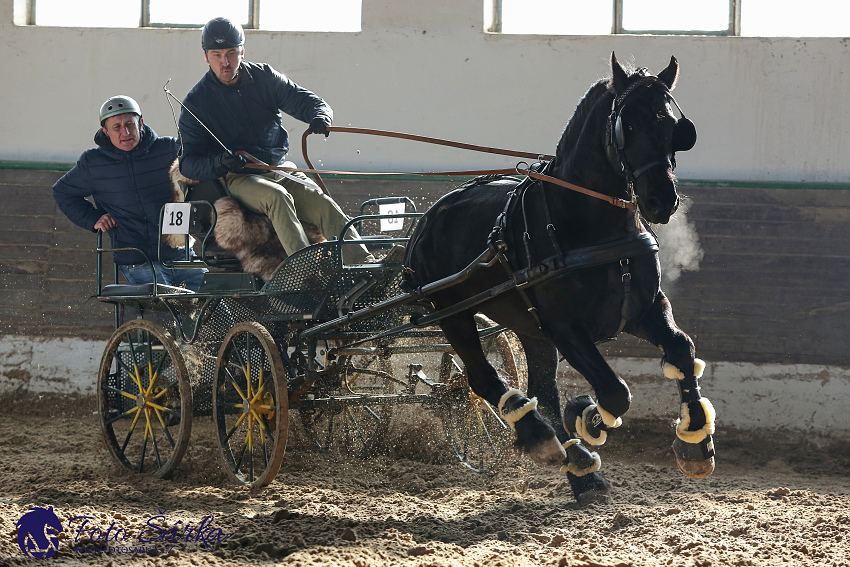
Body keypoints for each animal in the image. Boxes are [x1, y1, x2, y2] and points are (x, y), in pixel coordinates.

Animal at [400, 55, 712, 504]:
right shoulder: (565, 327)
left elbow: (682, 351)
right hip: (453, 314)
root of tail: (428, 217)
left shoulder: (645, 309)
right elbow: (615, 393)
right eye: (629, 125)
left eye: (674, 127)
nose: (660, 200)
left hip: (529, 329)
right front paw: (586, 415)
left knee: (543, 391)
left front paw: (695, 442)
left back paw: (581, 470)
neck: (590, 225)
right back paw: (544, 440)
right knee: (481, 377)